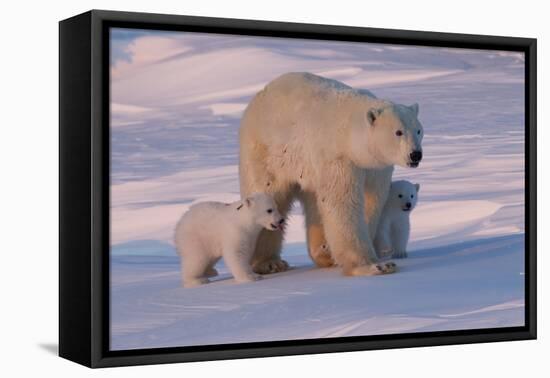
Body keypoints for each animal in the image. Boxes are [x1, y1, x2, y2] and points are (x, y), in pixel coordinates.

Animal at [239, 72, 424, 276]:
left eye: (418, 130)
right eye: (398, 132)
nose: (415, 154)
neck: (350, 134)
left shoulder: (376, 167)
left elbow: (372, 201)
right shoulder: (338, 159)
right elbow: (343, 203)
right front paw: (374, 266)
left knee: (314, 203)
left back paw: (324, 252)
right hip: (268, 153)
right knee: (269, 194)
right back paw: (269, 263)